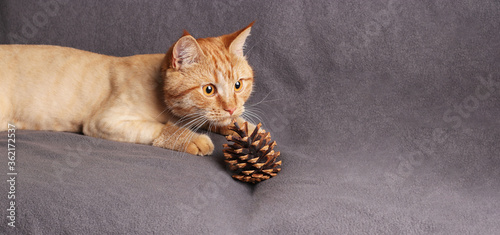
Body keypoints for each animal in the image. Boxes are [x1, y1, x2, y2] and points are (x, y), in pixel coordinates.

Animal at [0, 22, 256, 156]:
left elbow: (222, 121)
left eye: (238, 85)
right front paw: (190, 138)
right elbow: (162, 128)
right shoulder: (103, 122)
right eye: (209, 90)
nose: (232, 108)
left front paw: (247, 127)